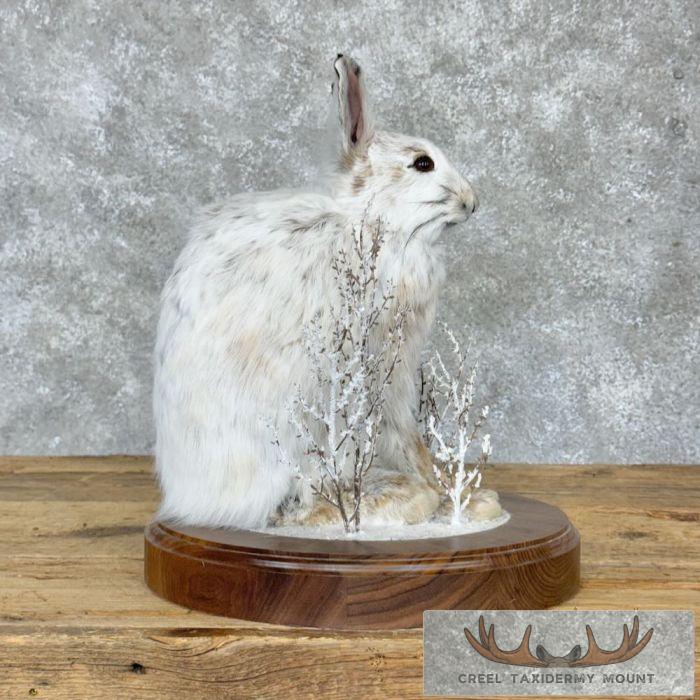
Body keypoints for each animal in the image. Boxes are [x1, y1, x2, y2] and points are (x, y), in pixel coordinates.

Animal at [153, 54, 479, 529]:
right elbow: (401, 430)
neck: (373, 225)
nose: (472, 203)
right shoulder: (388, 364)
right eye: (423, 164)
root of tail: (197, 499)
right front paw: (433, 483)